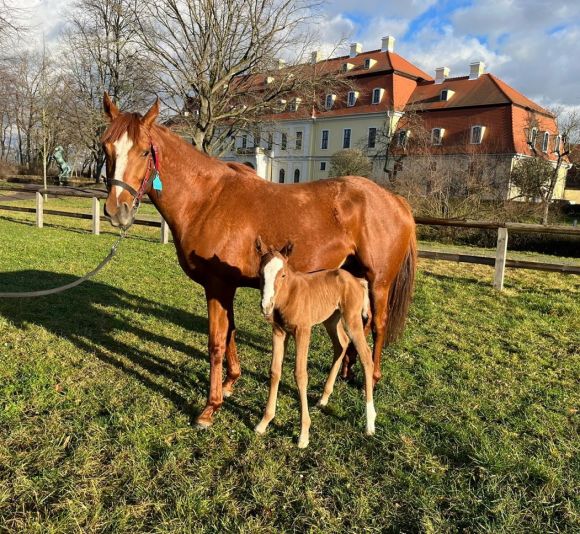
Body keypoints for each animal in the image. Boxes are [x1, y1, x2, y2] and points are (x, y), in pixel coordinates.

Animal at [254, 239, 376, 448]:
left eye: (283, 274)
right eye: (260, 273)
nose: (266, 306)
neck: (289, 295)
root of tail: (358, 281)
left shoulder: (303, 331)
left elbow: (300, 374)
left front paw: (304, 434)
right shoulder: (279, 332)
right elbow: (275, 371)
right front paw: (264, 422)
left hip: (352, 320)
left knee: (366, 356)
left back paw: (369, 423)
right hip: (332, 319)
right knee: (341, 344)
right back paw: (323, 399)